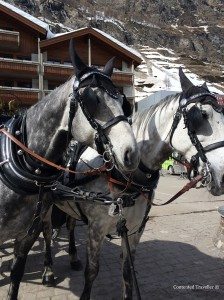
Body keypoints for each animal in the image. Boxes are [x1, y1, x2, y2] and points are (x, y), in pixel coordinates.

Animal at [47, 68, 224, 300]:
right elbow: (91, 272)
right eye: (202, 115)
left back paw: (73, 256)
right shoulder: (96, 229)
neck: (124, 175)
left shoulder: (134, 229)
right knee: (44, 233)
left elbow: (127, 272)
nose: (223, 175)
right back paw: (48, 269)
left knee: (68, 225)